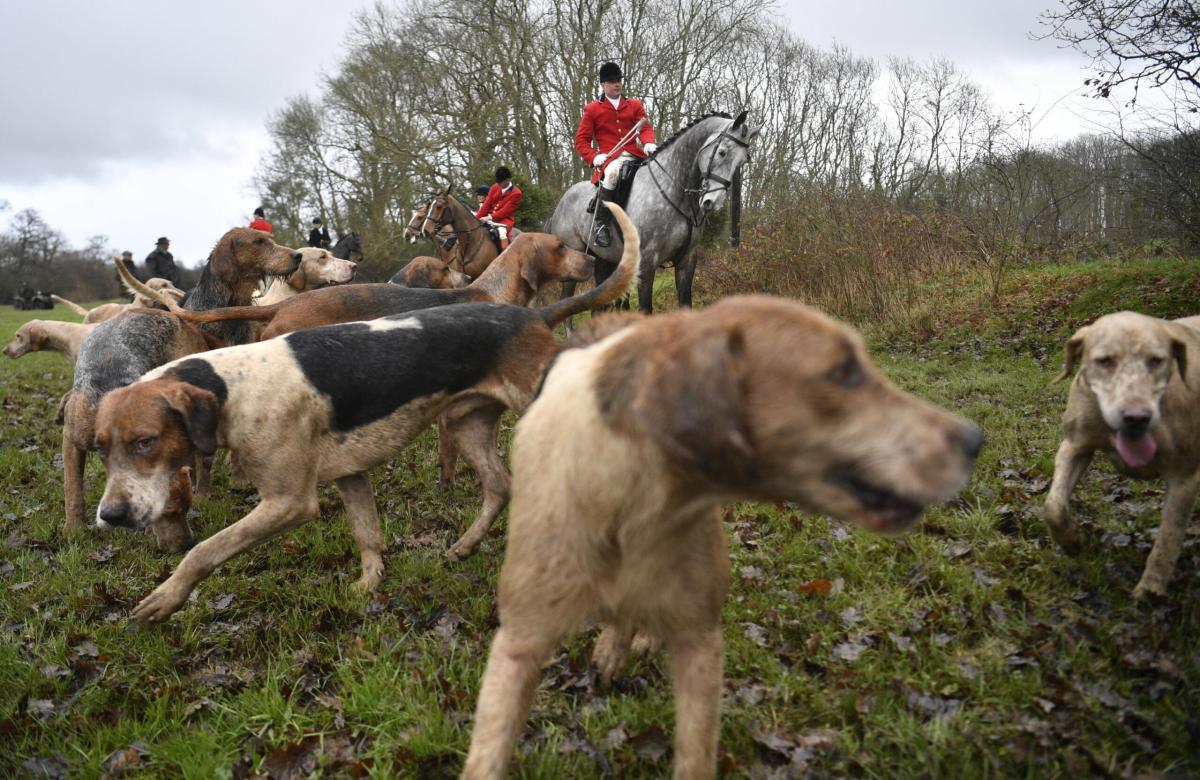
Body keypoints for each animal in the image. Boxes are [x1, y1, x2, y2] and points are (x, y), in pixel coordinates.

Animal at [547, 110, 753, 316]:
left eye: (743, 160)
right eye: (722, 152)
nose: (712, 202)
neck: (674, 190)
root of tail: (561, 203)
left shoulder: (687, 261)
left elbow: (685, 304)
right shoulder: (646, 263)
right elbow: (645, 309)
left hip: (604, 261)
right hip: (574, 263)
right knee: (565, 302)